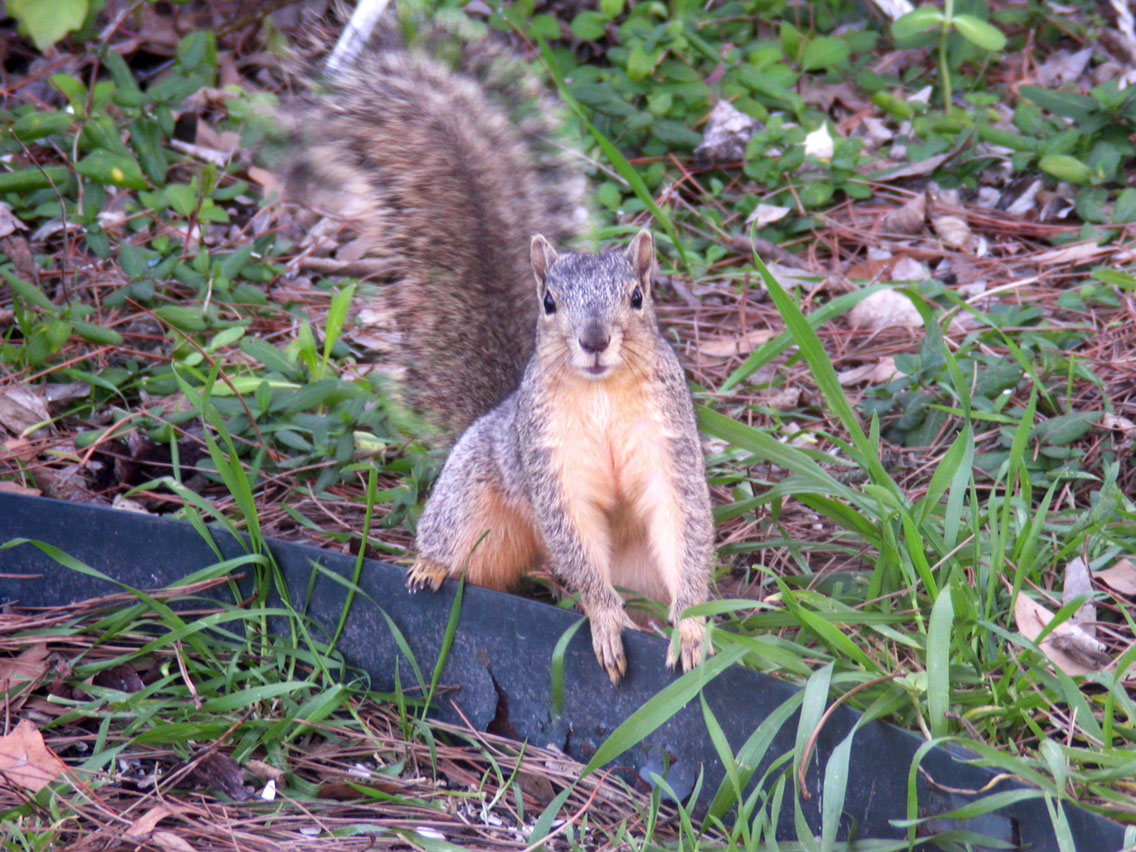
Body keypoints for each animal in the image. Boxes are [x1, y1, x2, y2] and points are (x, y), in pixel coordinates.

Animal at [282, 31, 714, 683]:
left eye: (638, 298)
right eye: (549, 302)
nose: (593, 341)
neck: (602, 391)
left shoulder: (668, 442)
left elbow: (684, 524)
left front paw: (690, 625)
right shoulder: (549, 458)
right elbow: (574, 538)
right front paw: (604, 617)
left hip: (636, 560)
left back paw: (646, 620)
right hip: (472, 501)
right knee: (465, 552)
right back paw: (433, 567)